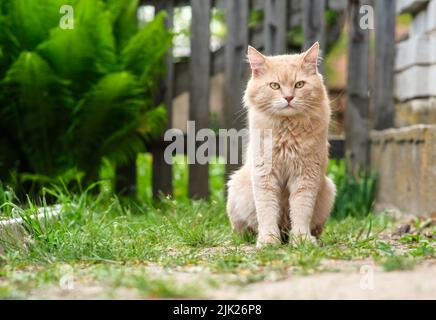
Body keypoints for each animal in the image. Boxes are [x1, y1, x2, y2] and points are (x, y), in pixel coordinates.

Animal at [227, 42, 336, 248]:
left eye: (299, 84)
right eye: (274, 86)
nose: (288, 98)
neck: (287, 130)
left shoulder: (305, 176)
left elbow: (301, 211)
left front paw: (301, 239)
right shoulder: (265, 175)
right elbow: (267, 212)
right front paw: (269, 240)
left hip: (328, 190)